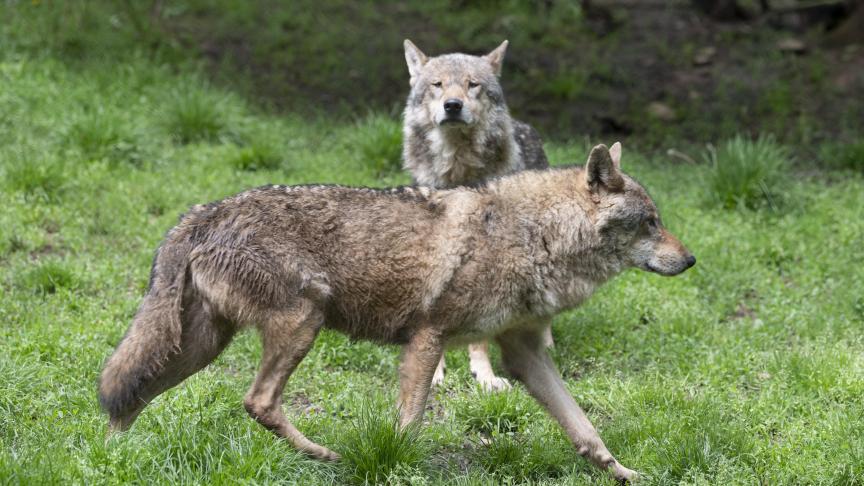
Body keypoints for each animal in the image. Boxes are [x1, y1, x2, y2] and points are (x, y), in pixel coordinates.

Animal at [99, 143, 696, 482]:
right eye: (649, 222)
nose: (690, 260)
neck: (535, 236)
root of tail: (202, 212)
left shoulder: (524, 355)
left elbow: (586, 430)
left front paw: (627, 473)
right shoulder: (429, 337)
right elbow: (408, 427)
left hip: (199, 346)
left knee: (126, 393)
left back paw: (112, 460)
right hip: (301, 323)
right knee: (257, 401)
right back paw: (325, 455)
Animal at [402, 40, 552, 392]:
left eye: (473, 85)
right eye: (438, 84)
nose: (453, 105)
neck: (457, 170)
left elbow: (481, 339)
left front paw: (485, 376)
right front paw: (435, 373)